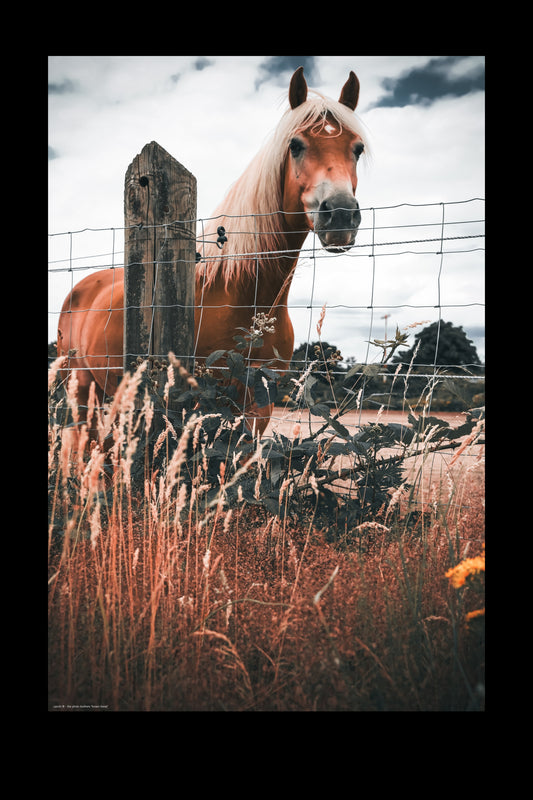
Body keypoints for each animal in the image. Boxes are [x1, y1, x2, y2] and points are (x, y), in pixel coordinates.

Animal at [56, 66, 368, 438]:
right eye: (295, 145)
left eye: (358, 149)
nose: (340, 215)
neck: (239, 294)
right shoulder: (191, 406)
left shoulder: (258, 407)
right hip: (81, 386)